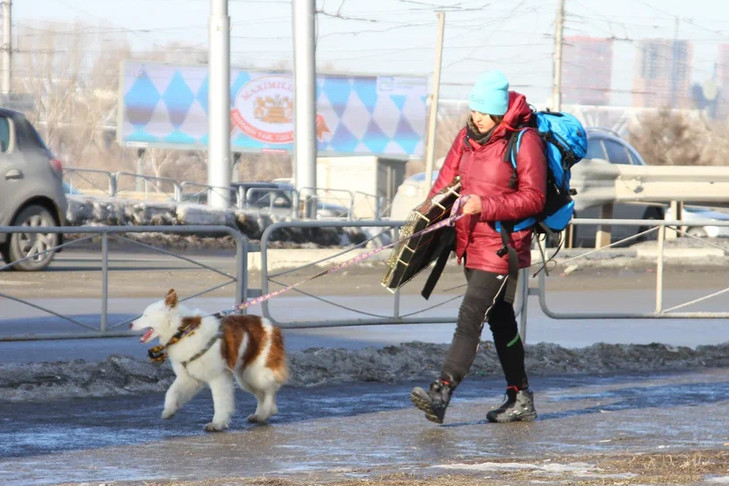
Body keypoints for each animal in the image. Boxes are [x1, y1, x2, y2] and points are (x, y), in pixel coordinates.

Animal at [129, 286, 288, 430]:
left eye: (146, 315)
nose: (130, 324)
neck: (182, 332)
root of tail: (271, 325)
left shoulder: (219, 377)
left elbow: (220, 402)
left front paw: (217, 424)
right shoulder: (188, 377)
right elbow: (171, 392)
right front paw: (169, 410)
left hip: (256, 372)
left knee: (270, 389)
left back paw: (265, 412)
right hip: (245, 377)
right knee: (262, 393)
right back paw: (261, 414)